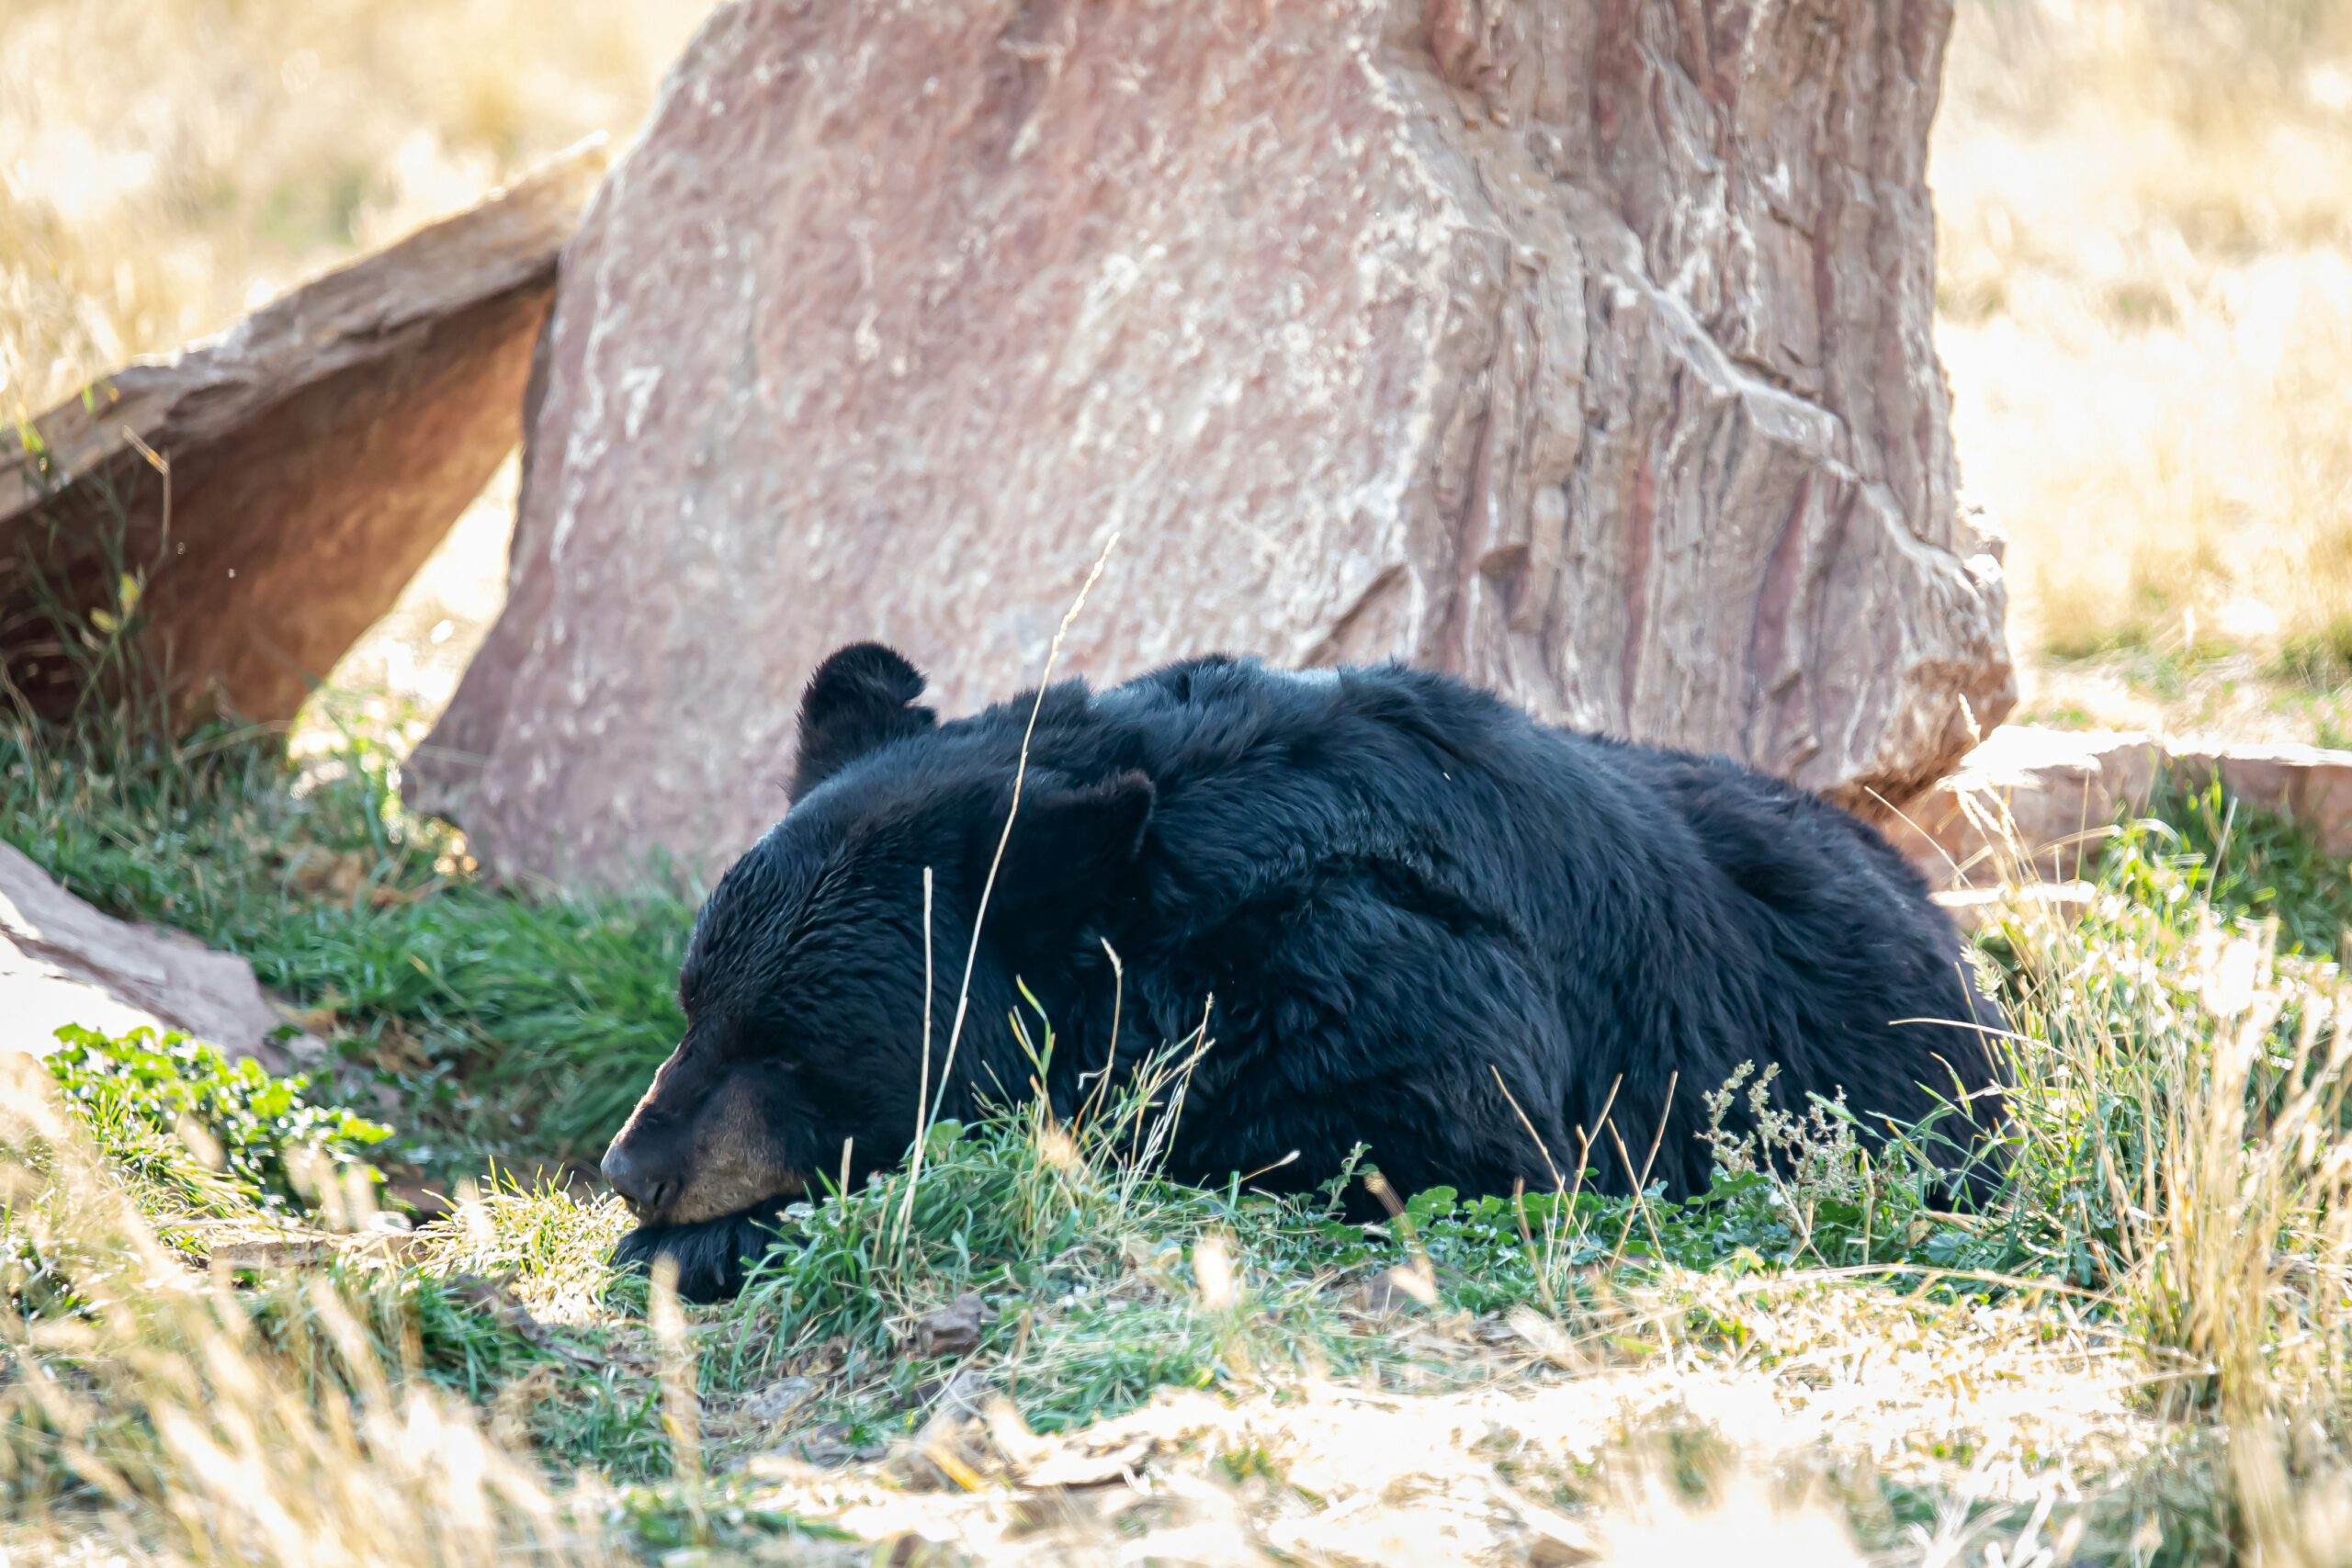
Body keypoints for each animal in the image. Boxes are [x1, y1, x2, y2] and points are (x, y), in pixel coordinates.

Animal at [602, 639, 2004, 1297]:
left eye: (802, 1050)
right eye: (695, 1003)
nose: (633, 1167)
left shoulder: (1380, 969)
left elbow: (1422, 1146)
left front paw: (713, 1237)